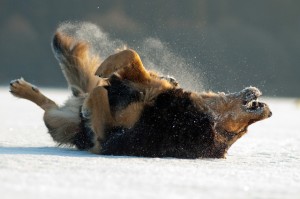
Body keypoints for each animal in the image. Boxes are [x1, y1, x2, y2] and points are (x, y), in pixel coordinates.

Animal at [9, 31, 272, 159]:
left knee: (54, 108)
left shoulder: (107, 138)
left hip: (58, 123)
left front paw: (98, 91)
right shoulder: (149, 86)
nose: (269, 111)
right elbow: (132, 56)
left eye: (240, 132)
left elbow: (99, 94)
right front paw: (107, 68)